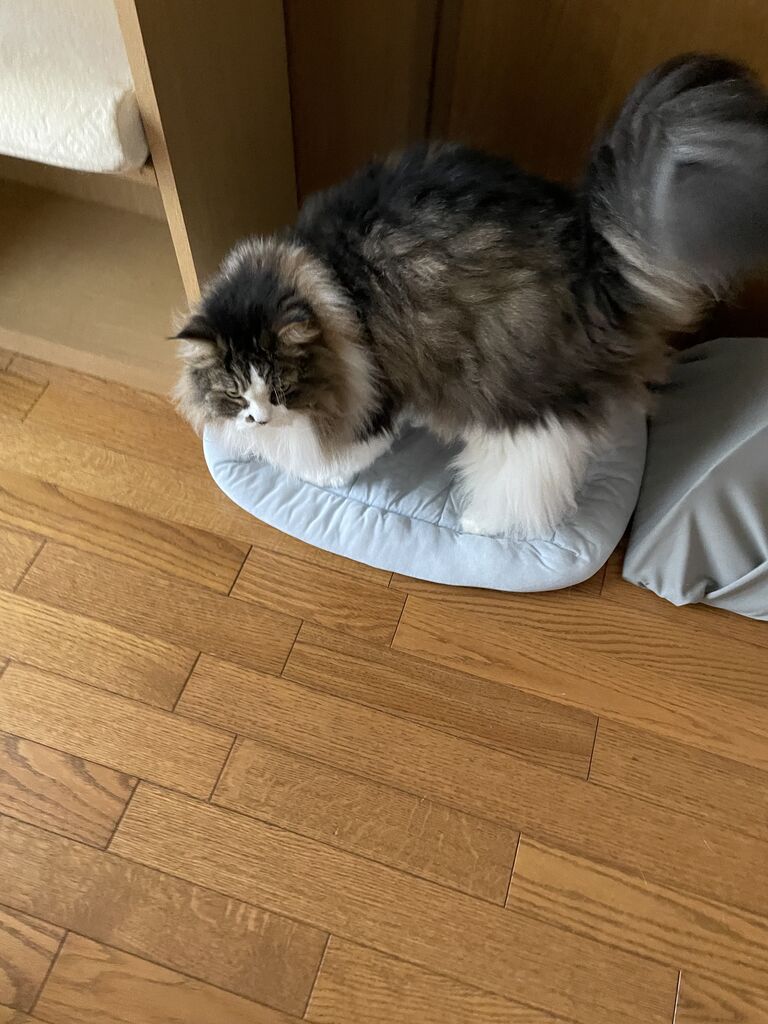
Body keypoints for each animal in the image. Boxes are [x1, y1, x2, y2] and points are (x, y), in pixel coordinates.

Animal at [174, 54, 768, 539]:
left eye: (280, 387)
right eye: (234, 392)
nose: (257, 420)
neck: (321, 275)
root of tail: (590, 247)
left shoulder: (372, 382)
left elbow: (345, 448)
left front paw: (325, 469)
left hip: (512, 395)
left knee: (533, 474)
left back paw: (483, 521)